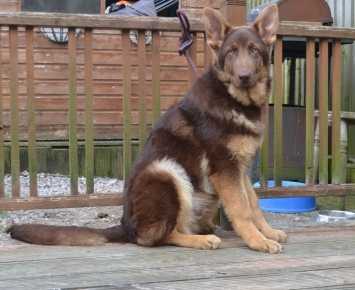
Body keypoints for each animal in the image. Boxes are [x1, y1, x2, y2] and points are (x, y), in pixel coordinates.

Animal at [6, 4, 288, 254]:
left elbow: (253, 204)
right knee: (156, 236)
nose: (244, 77)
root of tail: (125, 225)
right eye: (231, 52)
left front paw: (267, 233)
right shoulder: (225, 169)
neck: (234, 99)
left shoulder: (239, 169)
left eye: (254, 51)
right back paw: (200, 240)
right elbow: (242, 209)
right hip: (166, 171)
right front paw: (257, 241)